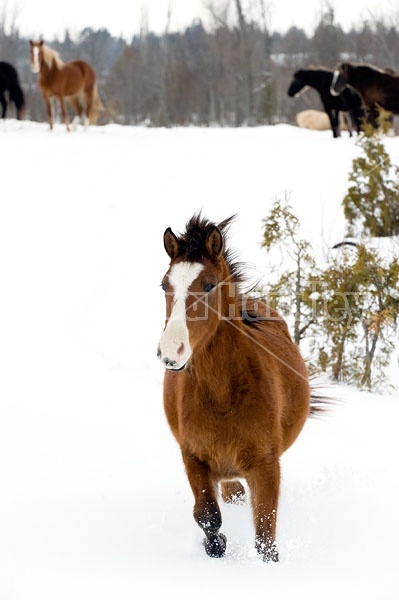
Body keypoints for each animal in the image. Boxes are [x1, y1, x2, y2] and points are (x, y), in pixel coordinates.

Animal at [158, 216, 318, 564]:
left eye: (209, 285)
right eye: (165, 285)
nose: (171, 351)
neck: (223, 397)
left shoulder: (266, 465)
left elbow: (265, 535)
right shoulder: (193, 458)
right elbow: (207, 514)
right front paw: (216, 545)